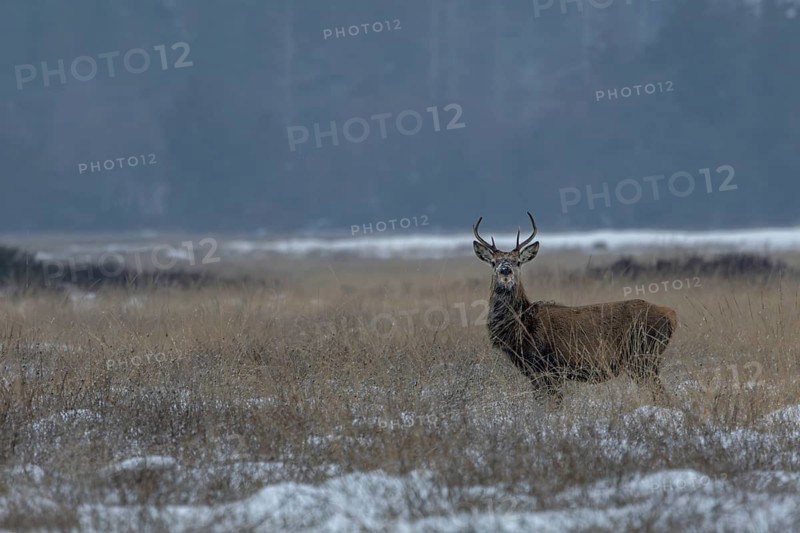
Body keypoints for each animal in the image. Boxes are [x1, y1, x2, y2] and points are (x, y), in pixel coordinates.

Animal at [472, 212, 677, 405]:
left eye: (518, 262)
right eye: (493, 262)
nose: (505, 271)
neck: (522, 327)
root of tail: (671, 315)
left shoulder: (550, 367)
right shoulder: (535, 372)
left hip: (644, 356)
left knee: (662, 394)